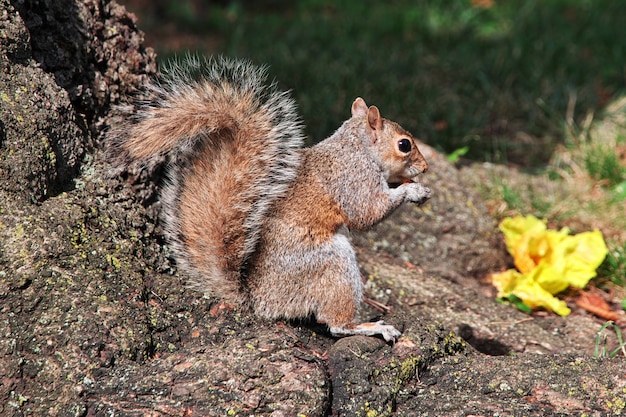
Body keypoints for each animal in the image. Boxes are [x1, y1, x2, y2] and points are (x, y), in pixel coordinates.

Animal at [107, 56, 428, 342]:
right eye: (404, 145)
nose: (425, 168)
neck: (356, 147)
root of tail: (259, 300)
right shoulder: (353, 179)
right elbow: (366, 214)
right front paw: (413, 191)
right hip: (332, 264)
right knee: (336, 324)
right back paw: (369, 327)